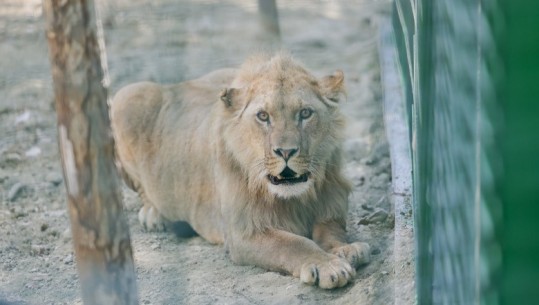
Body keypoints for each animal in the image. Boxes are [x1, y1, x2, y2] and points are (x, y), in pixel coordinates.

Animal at [109, 53, 372, 288]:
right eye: (263, 116)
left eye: (305, 113)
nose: (286, 152)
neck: (294, 198)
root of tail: (177, 84)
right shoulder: (243, 233)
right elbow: (293, 244)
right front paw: (329, 266)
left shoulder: (331, 209)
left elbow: (331, 232)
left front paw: (345, 250)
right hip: (125, 97)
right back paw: (153, 215)